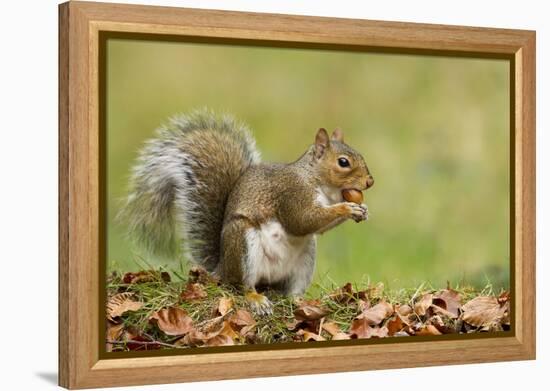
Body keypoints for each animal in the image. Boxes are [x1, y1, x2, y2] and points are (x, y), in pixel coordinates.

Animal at [121, 110, 376, 316]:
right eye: (343, 162)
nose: (370, 181)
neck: (317, 181)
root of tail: (222, 268)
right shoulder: (292, 194)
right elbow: (302, 221)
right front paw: (347, 208)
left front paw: (362, 210)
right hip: (243, 243)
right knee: (242, 286)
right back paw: (256, 299)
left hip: (304, 259)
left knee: (290, 290)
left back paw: (299, 300)